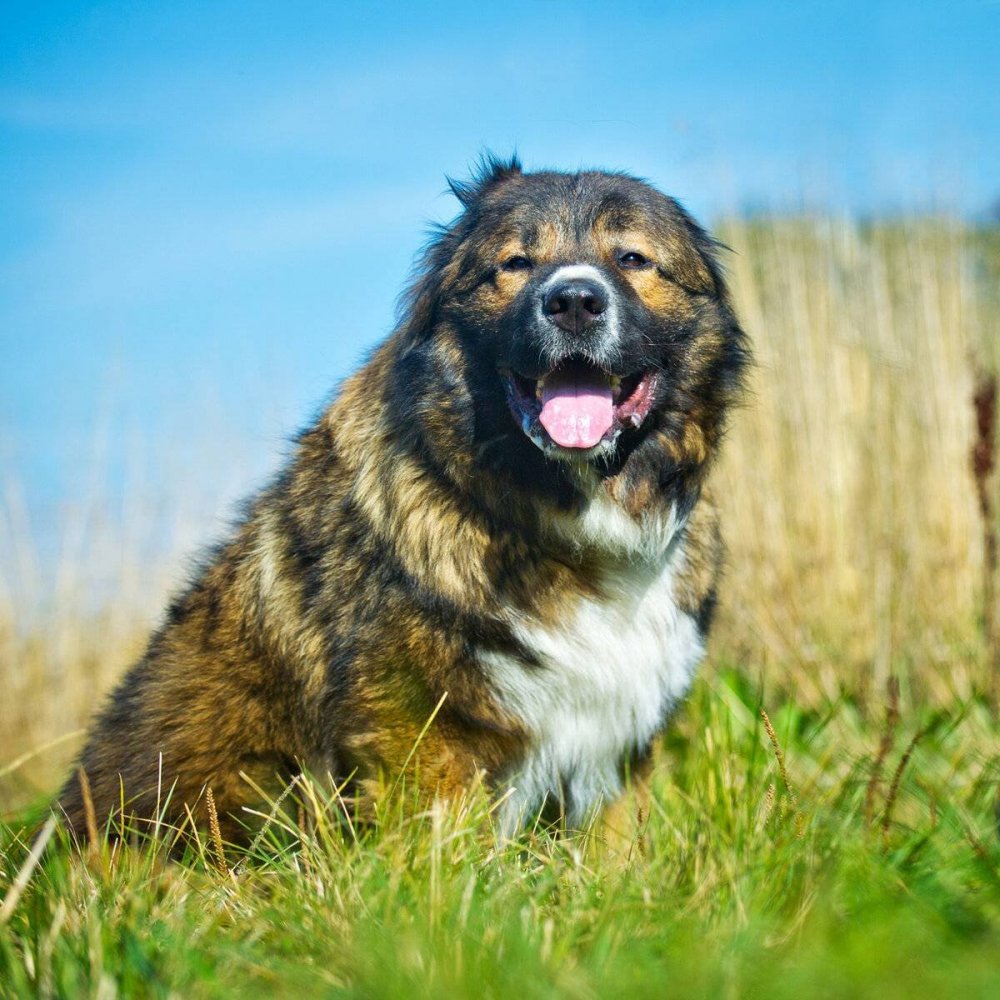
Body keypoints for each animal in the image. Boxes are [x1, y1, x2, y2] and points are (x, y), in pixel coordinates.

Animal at [58, 156, 748, 844]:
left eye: (632, 258)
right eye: (516, 262)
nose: (574, 301)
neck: (570, 525)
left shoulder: (617, 745)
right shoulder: (417, 738)